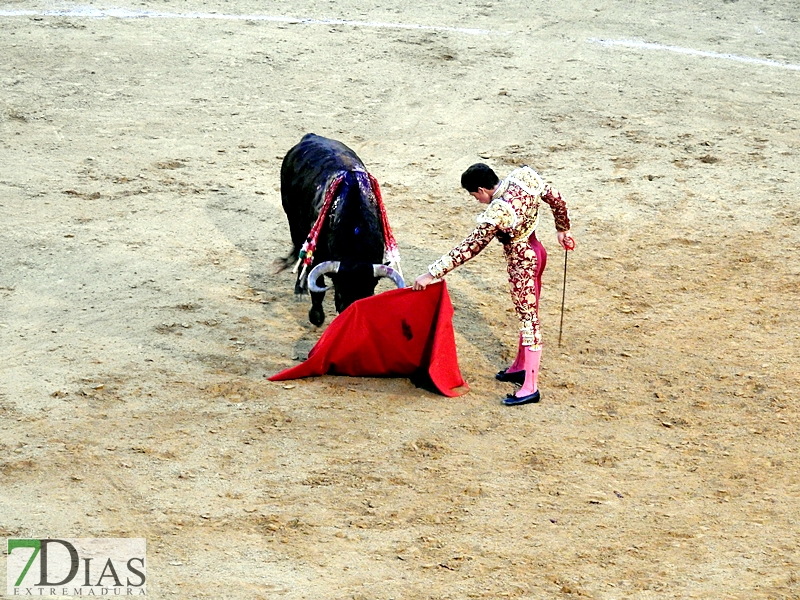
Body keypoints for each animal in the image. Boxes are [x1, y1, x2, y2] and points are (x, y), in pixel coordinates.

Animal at [282, 133, 406, 326]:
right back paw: (299, 289)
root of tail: (310, 136)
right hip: (292, 218)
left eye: (368, 292)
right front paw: (316, 316)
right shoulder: (317, 255)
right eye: (341, 292)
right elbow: (317, 286)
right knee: (300, 250)